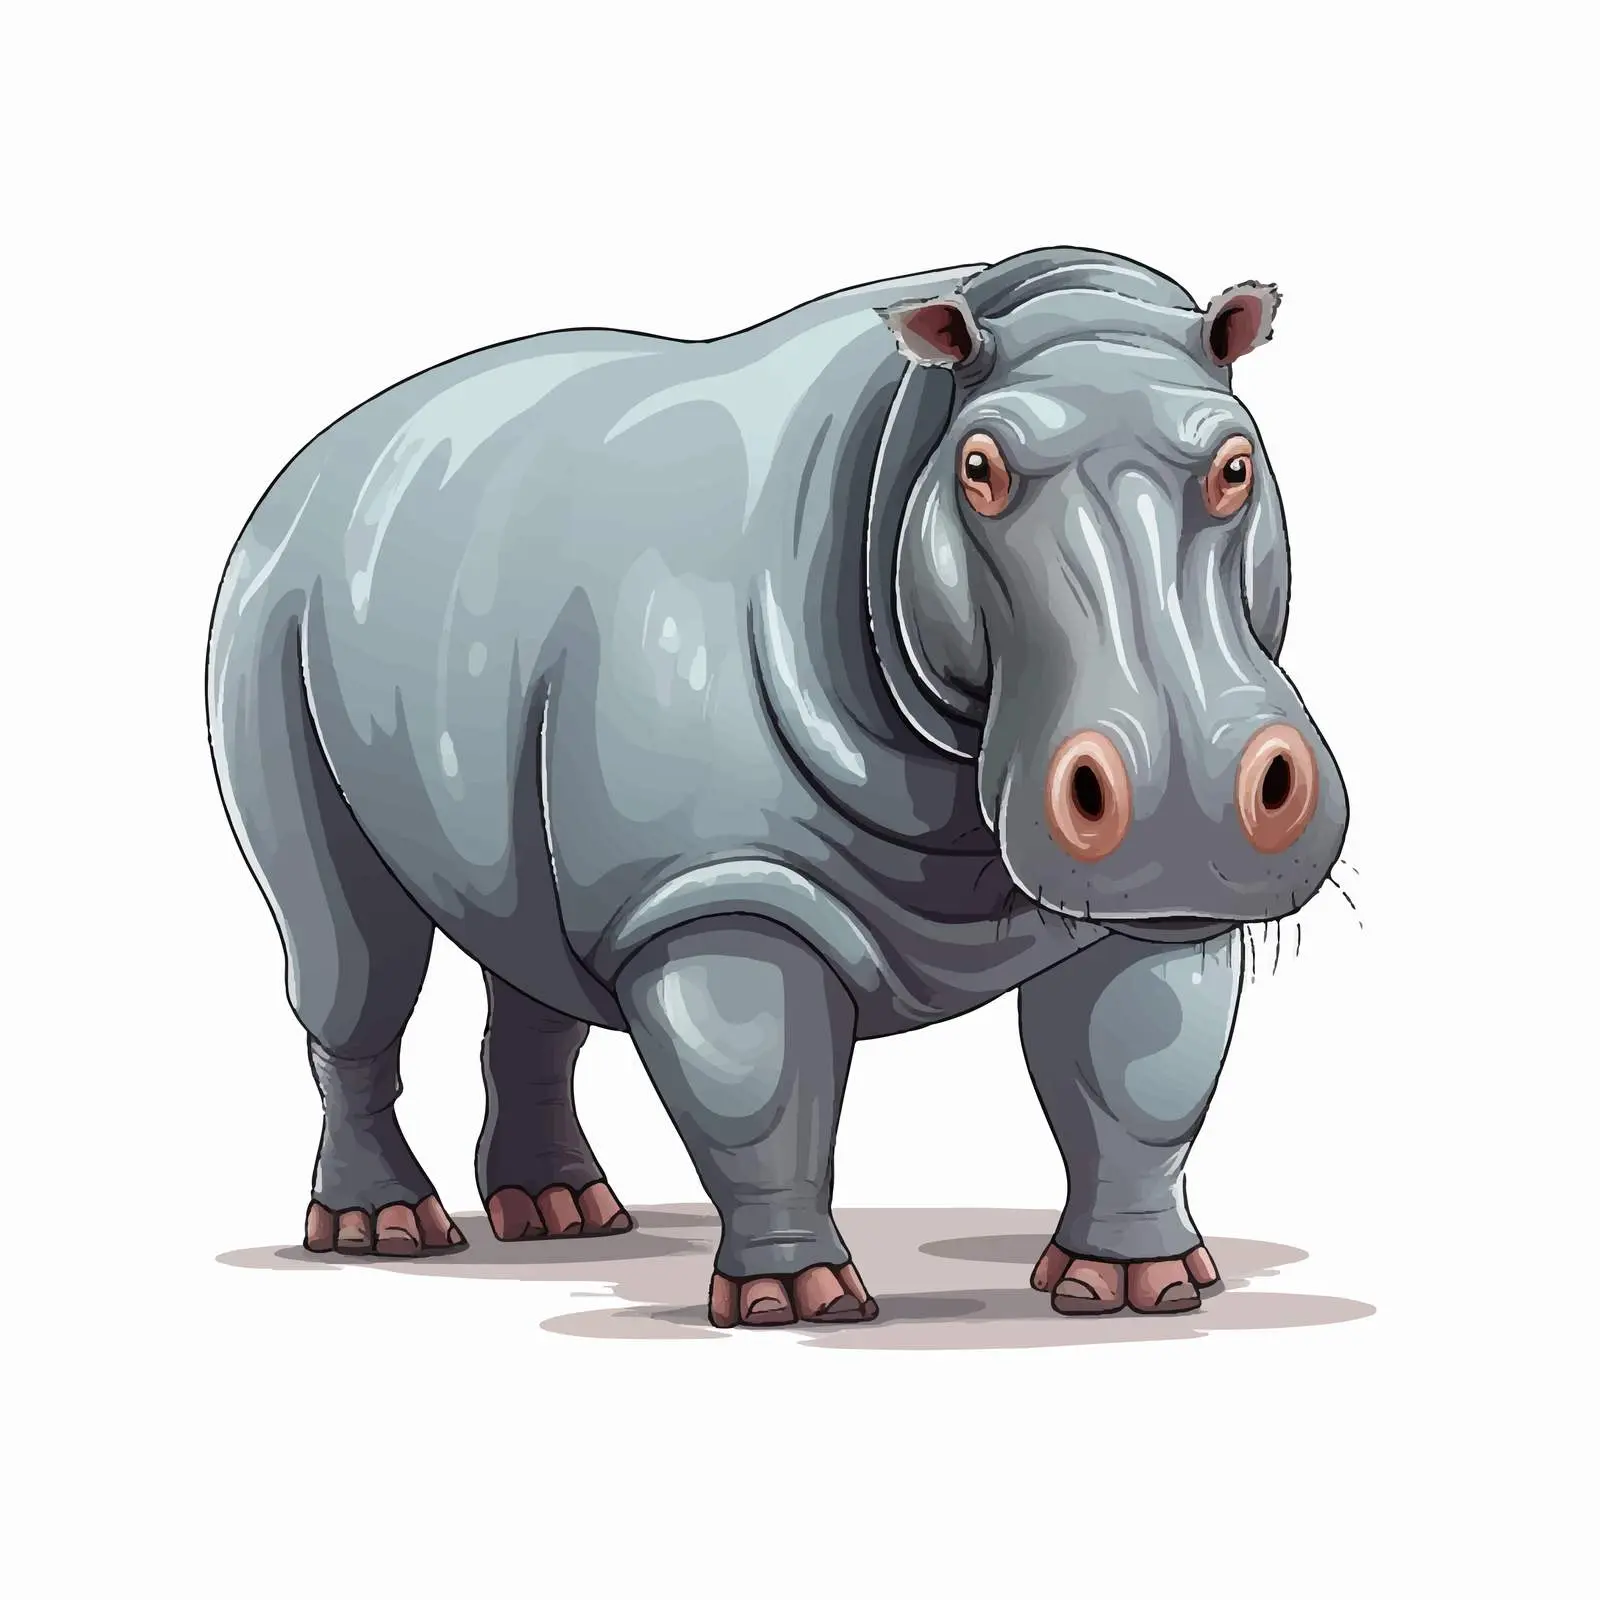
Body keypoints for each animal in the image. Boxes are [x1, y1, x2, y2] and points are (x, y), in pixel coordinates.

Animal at [207, 245, 1347, 1327]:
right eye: (978, 468)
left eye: (1238, 462)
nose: (1185, 800)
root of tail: (312, 460)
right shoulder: (711, 891)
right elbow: (761, 1090)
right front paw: (795, 1302)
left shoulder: (1147, 902)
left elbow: (1136, 1073)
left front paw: (1141, 1283)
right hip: (268, 616)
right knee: (349, 956)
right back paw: (383, 1231)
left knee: (529, 953)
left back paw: (566, 1217)